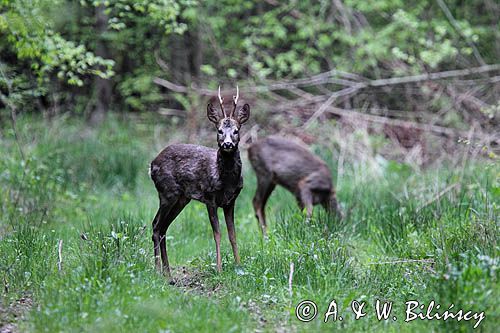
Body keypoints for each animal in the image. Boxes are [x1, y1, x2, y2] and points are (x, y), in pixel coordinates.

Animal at [148, 85, 250, 274]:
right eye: (219, 130)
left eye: (236, 131)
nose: (227, 144)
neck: (225, 181)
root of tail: (152, 164)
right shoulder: (210, 198)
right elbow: (217, 234)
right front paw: (219, 268)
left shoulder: (231, 201)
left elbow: (233, 234)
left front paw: (239, 265)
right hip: (167, 192)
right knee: (156, 225)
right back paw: (158, 270)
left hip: (182, 198)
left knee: (163, 227)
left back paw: (167, 272)